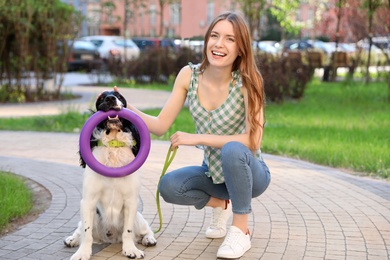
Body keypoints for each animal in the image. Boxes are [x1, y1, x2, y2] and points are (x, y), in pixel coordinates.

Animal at [63, 90, 155, 258]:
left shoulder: (131, 201)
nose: (110, 99)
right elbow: (86, 232)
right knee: (80, 230)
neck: (113, 145)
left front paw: (131, 250)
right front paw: (82, 253)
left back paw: (149, 239)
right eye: (101, 98)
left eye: (119, 96)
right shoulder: (88, 201)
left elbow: (128, 231)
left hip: (139, 218)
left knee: (146, 230)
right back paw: (72, 239)